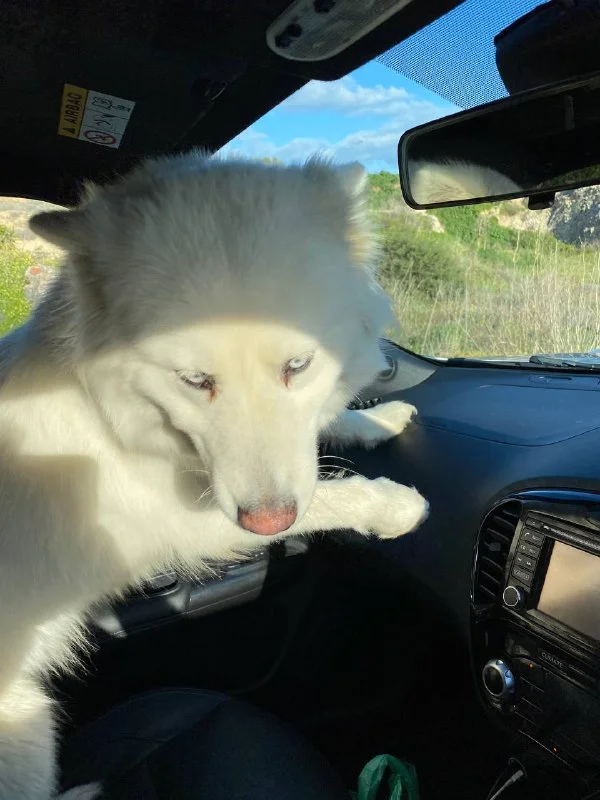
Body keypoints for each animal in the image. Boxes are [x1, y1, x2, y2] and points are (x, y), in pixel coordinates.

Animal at [0, 151, 428, 799]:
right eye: (195, 381)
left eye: (297, 365)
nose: (266, 520)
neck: (114, 412)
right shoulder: (194, 523)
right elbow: (330, 501)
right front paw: (394, 507)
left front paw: (377, 420)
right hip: (28, 723)